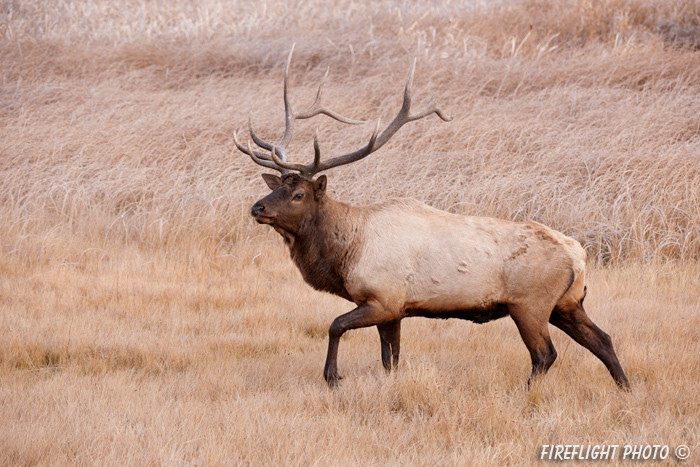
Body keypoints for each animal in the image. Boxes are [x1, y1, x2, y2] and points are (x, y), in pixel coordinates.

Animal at [234, 47, 628, 392]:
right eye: (276, 186)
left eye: (298, 194)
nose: (257, 208)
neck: (347, 251)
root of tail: (579, 255)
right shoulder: (395, 311)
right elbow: (390, 359)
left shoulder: (383, 299)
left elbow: (335, 326)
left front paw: (332, 377)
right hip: (567, 302)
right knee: (603, 340)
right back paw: (626, 388)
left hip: (530, 304)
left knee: (545, 354)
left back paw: (526, 392)